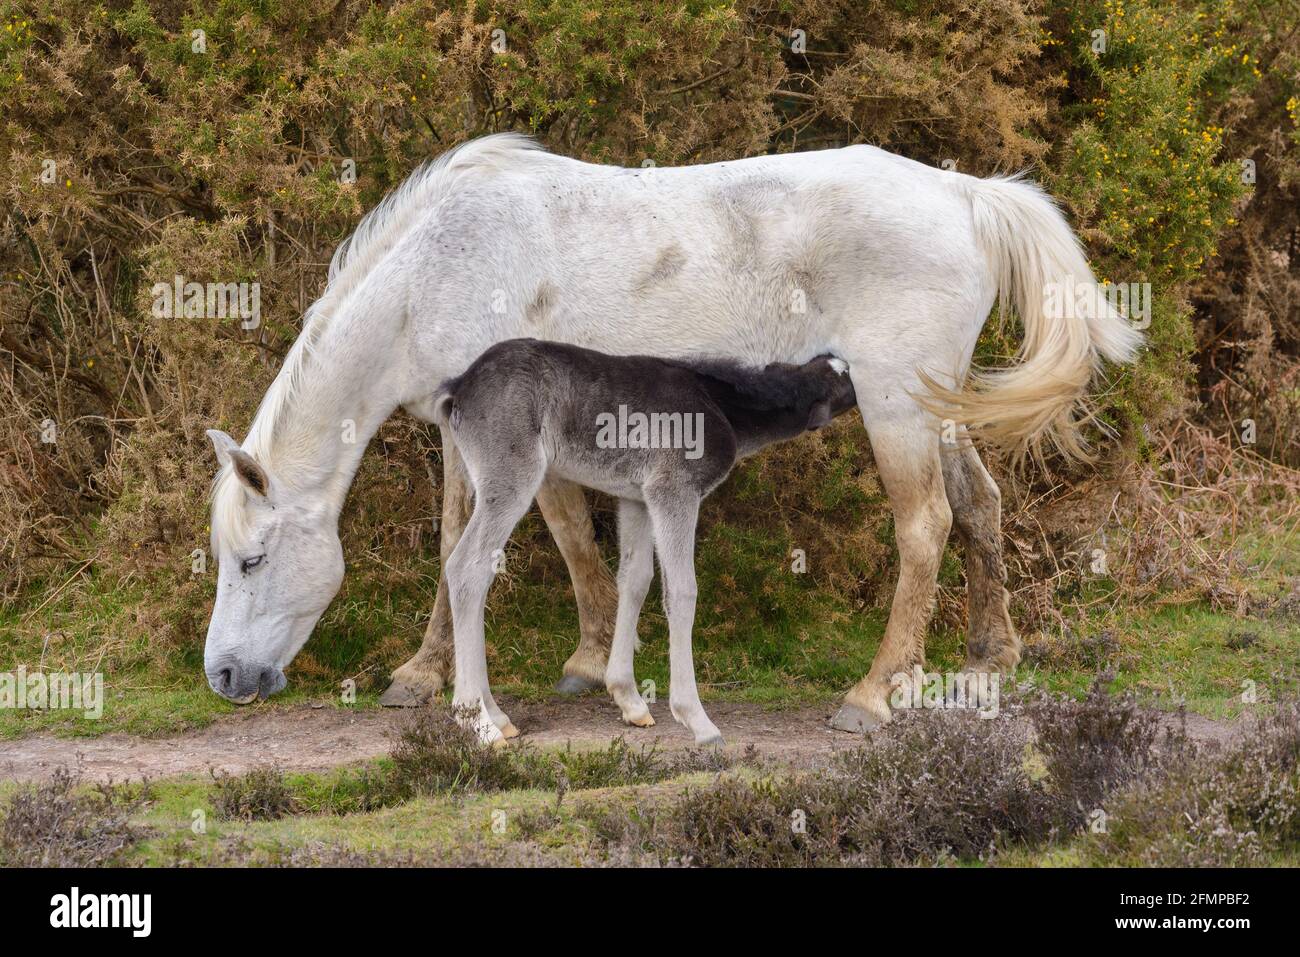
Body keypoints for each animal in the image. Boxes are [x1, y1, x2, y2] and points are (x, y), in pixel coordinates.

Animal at [441, 338, 857, 748]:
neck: (723, 407)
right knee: (464, 568)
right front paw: (698, 720)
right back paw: (479, 722)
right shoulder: (673, 489)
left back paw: (496, 714)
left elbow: (636, 579)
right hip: (511, 477)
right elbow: (682, 591)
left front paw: (629, 699)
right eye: (847, 380)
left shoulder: (635, 497)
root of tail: (459, 388)